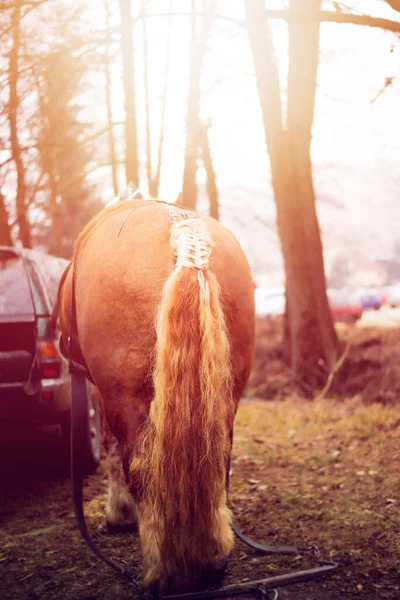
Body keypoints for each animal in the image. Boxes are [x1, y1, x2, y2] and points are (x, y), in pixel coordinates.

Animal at [57, 198, 255, 592]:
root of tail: (183, 230)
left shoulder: (99, 389)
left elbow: (111, 447)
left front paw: (119, 514)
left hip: (126, 397)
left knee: (139, 468)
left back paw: (164, 573)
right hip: (227, 395)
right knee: (218, 464)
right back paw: (211, 563)